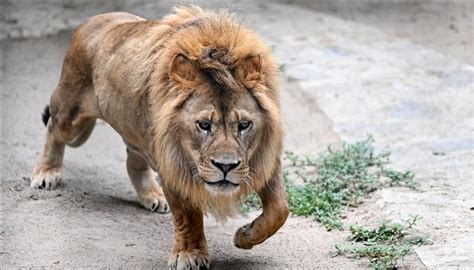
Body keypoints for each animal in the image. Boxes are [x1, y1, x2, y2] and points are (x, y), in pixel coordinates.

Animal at [31, 5, 288, 268]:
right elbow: (187, 216)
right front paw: (190, 254)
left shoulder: (264, 158)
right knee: (53, 128)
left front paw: (244, 235)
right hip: (71, 118)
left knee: (133, 161)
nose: (225, 166)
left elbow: (279, 209)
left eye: (244, 125)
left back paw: (152, 196)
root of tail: (92, 20)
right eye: (203, 125)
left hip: (139, 132)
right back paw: (47, 173)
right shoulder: (172, 163)